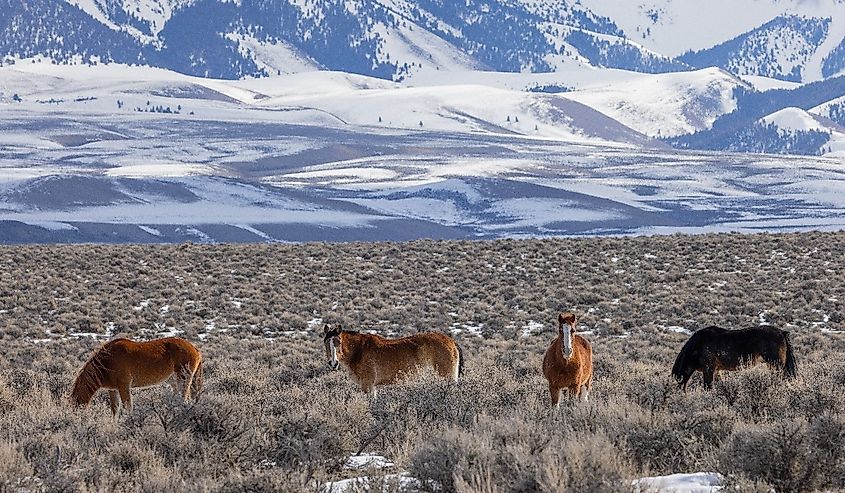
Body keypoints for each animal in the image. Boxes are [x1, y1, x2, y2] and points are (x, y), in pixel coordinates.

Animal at [69, 336, 201, 414]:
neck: (107, 361)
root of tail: (195, 348)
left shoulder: (124, 386)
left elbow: (127, 408)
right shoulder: (113, 389)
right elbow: (115, 410)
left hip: (183, 379)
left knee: (183, 400)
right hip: (175, 382)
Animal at [322, 322, 462, 396]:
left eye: (338, 342)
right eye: (326, 343)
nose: (333, 363)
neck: (359, 350)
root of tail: (451, 341)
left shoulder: (368, 385)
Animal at [668, 324, 796, 390]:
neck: (697, 345)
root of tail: (782, 332)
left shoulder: (708, 369)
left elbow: (707, 386)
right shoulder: (716, 370)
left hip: (776, 364)